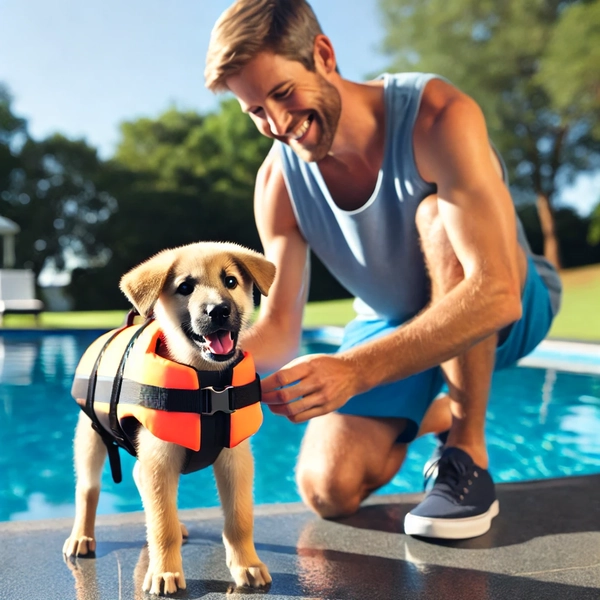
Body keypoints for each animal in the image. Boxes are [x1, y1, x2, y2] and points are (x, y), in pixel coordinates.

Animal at [61, 241, 276, 592]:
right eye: (185, 288)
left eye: (230, 281)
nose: (218, 311)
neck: (209, 386)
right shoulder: (160, 459)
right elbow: (163, 526)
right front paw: (165, 573)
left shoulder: (236, 459)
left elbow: (239, 519)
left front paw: (248, 565)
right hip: (91, 437)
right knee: (87, 489)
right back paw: (81, 536)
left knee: (138, 479)